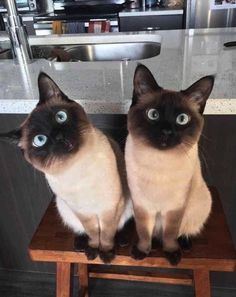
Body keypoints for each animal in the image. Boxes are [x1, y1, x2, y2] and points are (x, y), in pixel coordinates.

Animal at [0, 73, 133, 262]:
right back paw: (81, 246)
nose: (59, 136)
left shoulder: (110, 208)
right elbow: (94, 234)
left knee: (120, 226)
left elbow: (107, 234)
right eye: (39, 140)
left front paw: (106, 254)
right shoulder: (84, 213)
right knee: (80, 230)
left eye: (61, 117)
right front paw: (93, 251)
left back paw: (120, 241)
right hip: (65, 209)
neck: (79, 167)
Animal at [125, 63, 214, 264]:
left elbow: (171, 233)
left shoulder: (176, 207)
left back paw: (185, 246)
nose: (166, 131)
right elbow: (143, 232)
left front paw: (172, 254)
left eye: (182, 119)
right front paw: (142, 252)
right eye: (153, 115)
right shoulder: (142, 206)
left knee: (185, 230)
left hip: (200, 204)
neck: (159, 162)